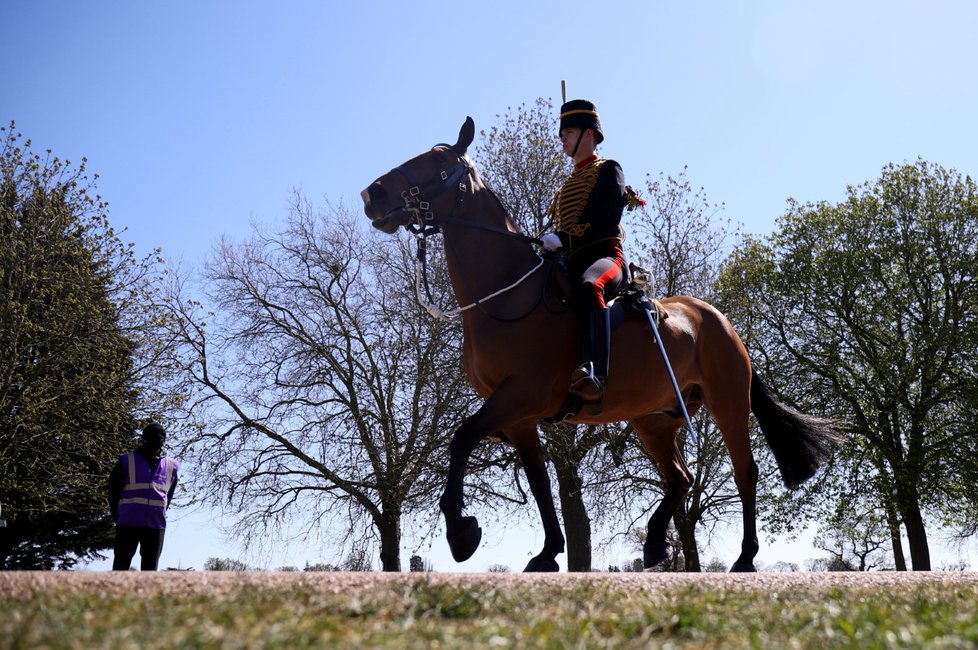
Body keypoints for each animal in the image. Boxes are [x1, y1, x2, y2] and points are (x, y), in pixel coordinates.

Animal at [358, 117, 840, 572]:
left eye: (439, 162)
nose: (371, 194)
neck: (506, 295)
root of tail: (720, 320)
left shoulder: (521, 395)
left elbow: (461, 437)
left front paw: (461, 532)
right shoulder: (519, 417)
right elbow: (539, 482)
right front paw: (548, 551)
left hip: (728, 403)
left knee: (745, 472)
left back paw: (744, 556)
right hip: (652, 419)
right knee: (680, 478)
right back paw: (654, 543)